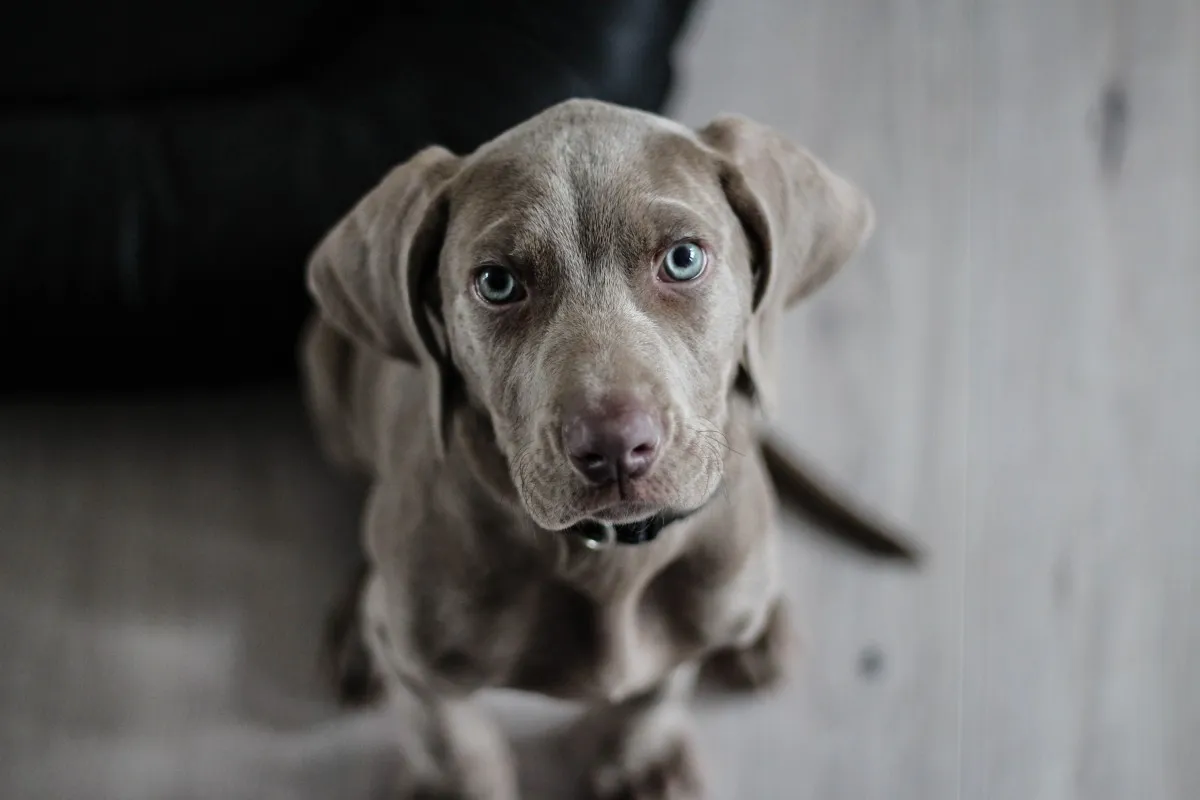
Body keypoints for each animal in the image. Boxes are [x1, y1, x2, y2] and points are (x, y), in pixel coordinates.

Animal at [300, 97, 916, 796]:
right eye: (496, 282)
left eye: (683, 259)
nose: (616, 447)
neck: (608, 557)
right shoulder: (424, 670)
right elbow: (451, 742)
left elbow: (658, 688)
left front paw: (638, 760)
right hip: (324, 371)